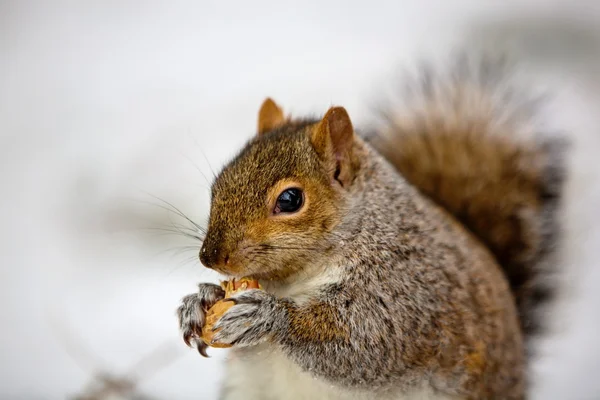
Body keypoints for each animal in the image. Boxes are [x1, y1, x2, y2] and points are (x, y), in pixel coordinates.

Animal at [176, 57, 564, 400]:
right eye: (220, 182)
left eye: (290, 199)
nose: (210, 257)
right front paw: (202, 300)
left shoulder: (407, 288)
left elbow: (364, 344)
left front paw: (266, 315)